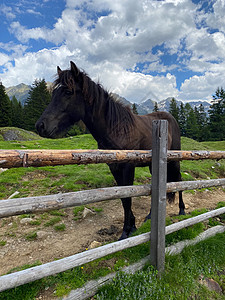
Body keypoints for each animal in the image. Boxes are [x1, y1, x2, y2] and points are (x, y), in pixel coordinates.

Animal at [36, 61, 185, 239]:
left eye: (68, 92)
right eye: (53, 93)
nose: (40, 126)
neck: (117, 128)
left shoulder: (128, 167)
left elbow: (128, 196)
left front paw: (127, 231)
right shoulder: (114, 167)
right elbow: (122, 198)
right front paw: (130, 227)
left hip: (175, 159)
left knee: (179, 180)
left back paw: (182, 210)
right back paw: (150, 216)